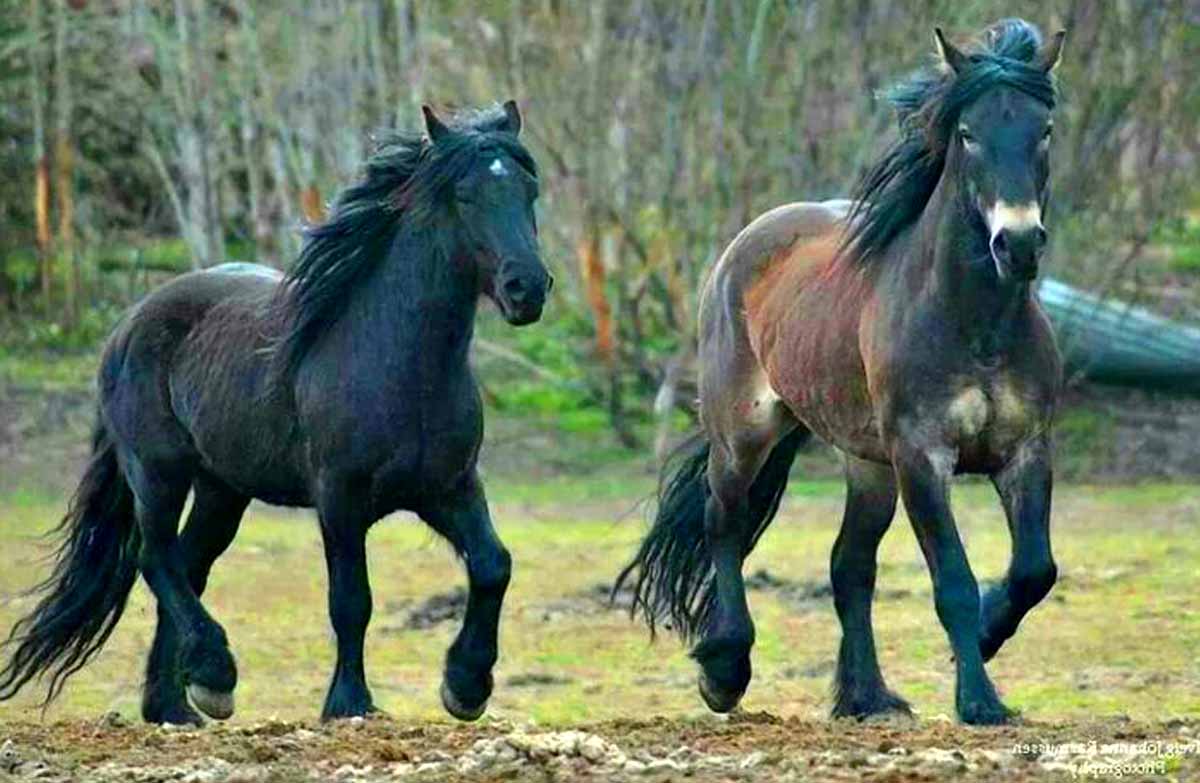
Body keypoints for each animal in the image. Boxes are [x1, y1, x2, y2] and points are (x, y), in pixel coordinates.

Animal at [0, 102, 551, 725]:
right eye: (465, 194)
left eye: (529, 190)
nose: (527, 288)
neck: (400, 365)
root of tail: (128, 323)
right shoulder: (339, 498)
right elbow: (351, 600)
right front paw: (349, 703)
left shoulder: (450, 487)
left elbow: (493, 565)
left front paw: (465, 685)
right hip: (159, 471)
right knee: (155, 558)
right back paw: (214, 674)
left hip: (222, 489)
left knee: (188, 565)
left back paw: (177, 703)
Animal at [617, 19, 1066, 726]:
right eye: (968, 133)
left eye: (1043, 129)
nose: (1016, 243)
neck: (976, 325)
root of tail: (743, 246)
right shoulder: (921, 456)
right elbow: (953, 579)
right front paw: (978, 699)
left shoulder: (1025, 450)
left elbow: (1034, 570)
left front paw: (989, 636)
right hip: (744, 436)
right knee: (725, 524)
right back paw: (726, 671)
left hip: (866, 462)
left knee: (848, 565)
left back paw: (867, 698)